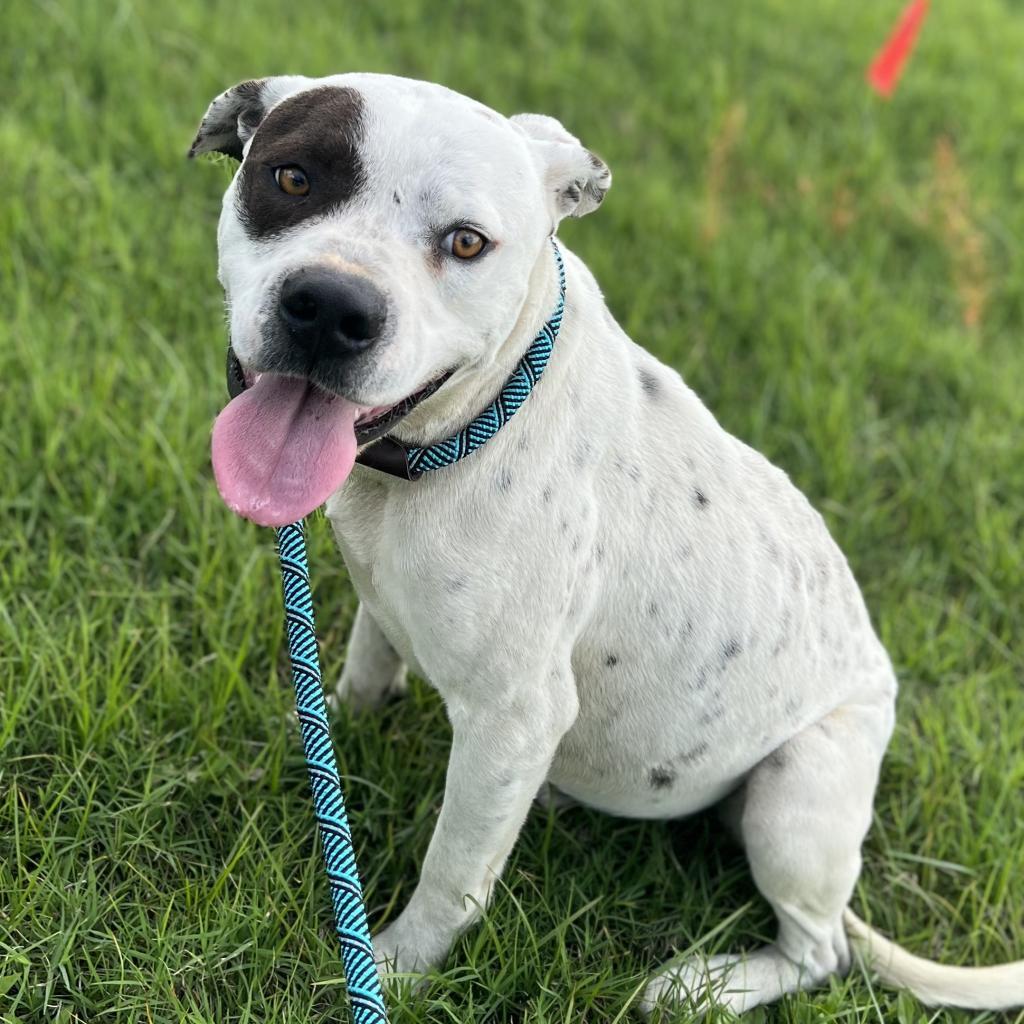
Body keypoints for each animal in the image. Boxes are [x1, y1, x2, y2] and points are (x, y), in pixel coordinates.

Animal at [190, 74, 1024, 1015]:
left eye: (467, 243)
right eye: (292, 178)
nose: (333, 307)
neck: (460, 432)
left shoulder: (515, 717)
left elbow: (454, 877)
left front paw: (395, 971)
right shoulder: (383, 601)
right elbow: (364, 677)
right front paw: (325, 742)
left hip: (797, 791)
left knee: (819, 953)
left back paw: (704, 986)